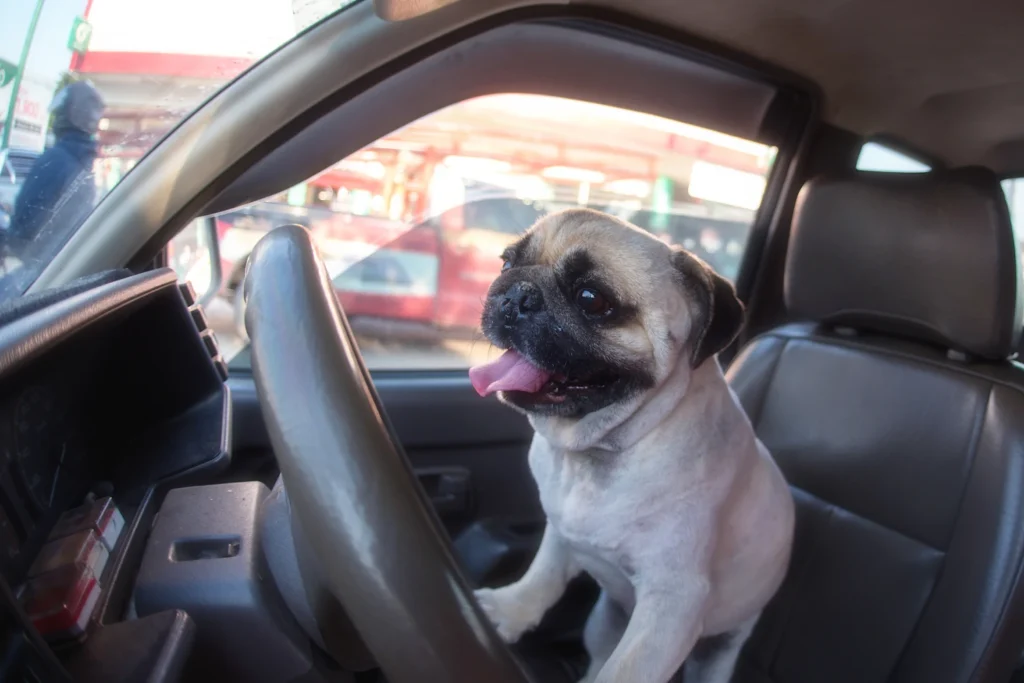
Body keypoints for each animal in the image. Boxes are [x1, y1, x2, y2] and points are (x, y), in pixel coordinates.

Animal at [468, 209, 794, 683]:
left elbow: (626, 669)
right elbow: (543, 576)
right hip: (603, 624)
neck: (597, 450)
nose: (515, 294)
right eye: (506, 263)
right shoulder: (561, 533)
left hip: (719, 650)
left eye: (591, 298)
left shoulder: (672, 604)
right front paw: (511, 610)